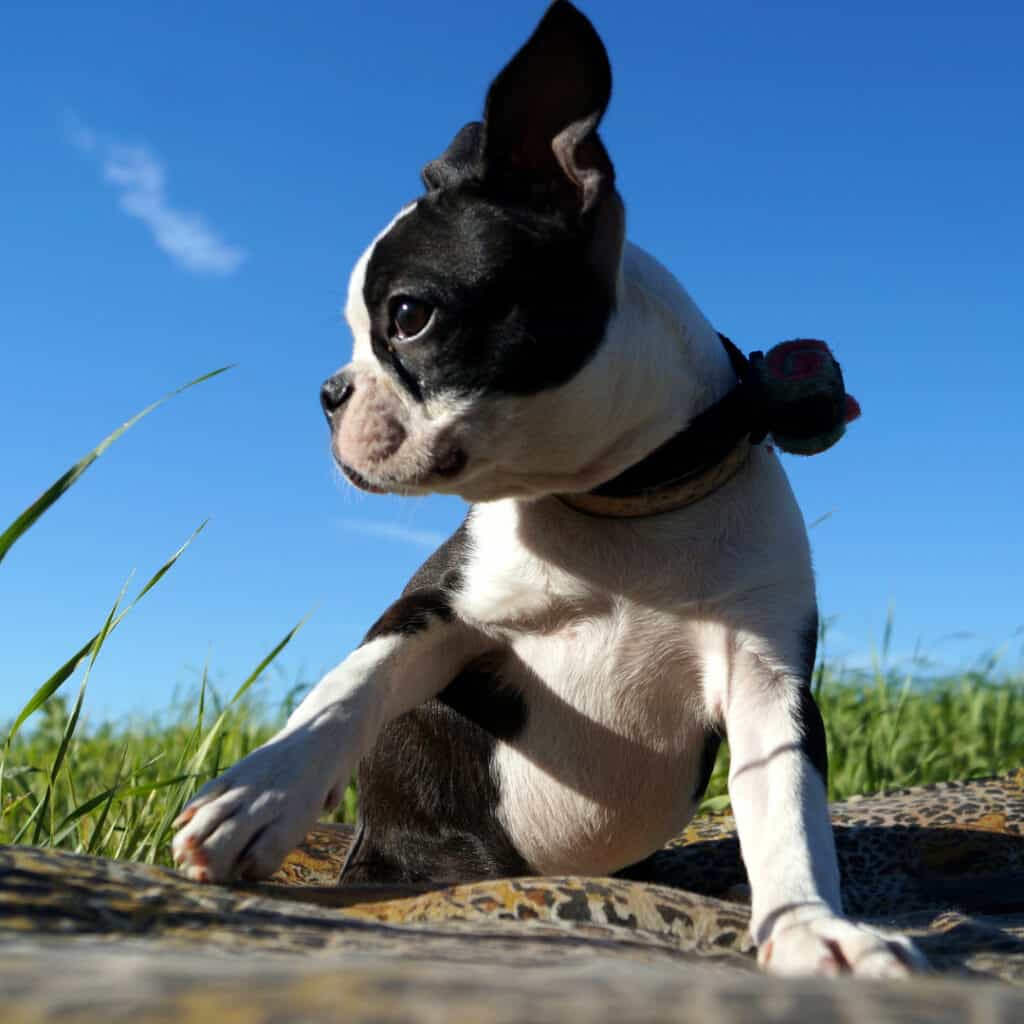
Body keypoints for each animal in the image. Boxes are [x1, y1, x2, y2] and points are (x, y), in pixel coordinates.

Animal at [172, 0, 925, 974]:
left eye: (408, 318)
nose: (329, 392)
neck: (619, 502)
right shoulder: (438, 611)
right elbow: (347, 688)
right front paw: (259, 795)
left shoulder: (766, 677)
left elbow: (788, 815)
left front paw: (811, 931)